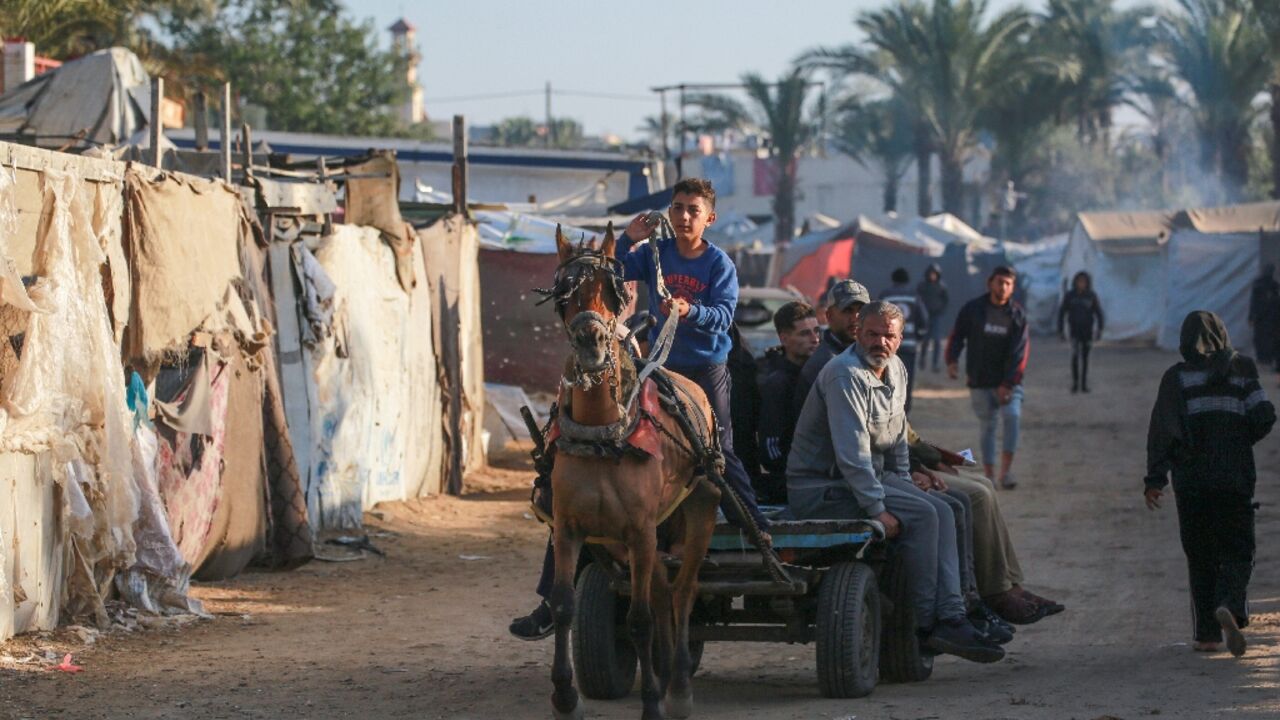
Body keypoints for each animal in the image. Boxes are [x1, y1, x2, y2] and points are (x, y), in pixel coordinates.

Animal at [545, 221, 727, 712]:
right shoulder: (571, 528)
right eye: (564, 294)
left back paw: (677, 687)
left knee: (682, 593)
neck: (604, 433)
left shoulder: (640, 531)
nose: (590, 343)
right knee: (664, 593)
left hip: (698, 512)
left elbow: (639, 619)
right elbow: (565, 606)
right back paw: (665, 675)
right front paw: (565, 695)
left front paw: (650, 703)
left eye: (614, 293)